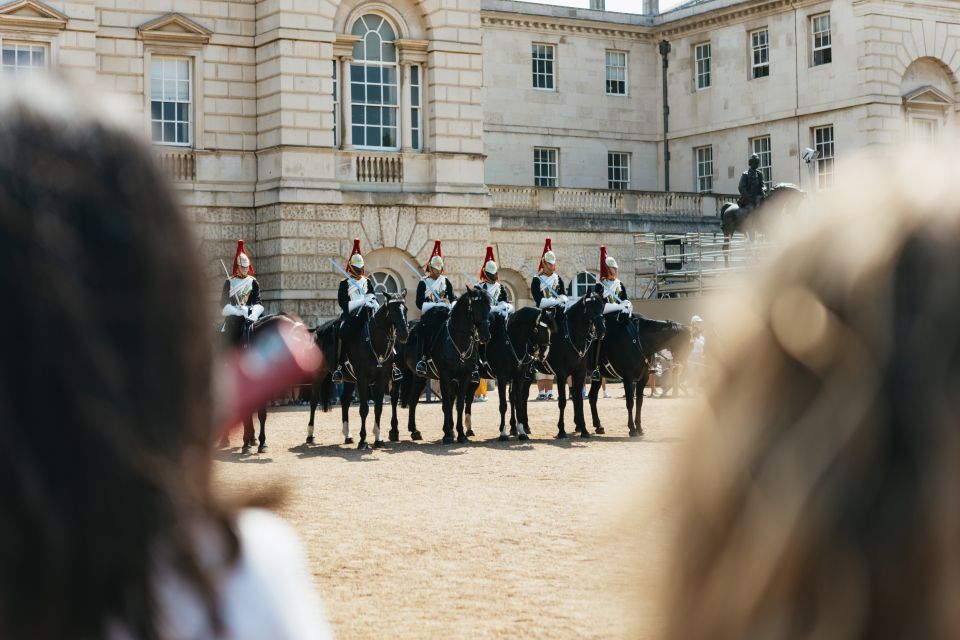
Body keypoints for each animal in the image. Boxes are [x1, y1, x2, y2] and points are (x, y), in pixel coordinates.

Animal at [308, 292, 408, 450]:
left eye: (406, 309)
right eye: (392, 309)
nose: (405, 333)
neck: (375, 341)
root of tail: (318, 329)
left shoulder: (381, 379)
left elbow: (378, 408)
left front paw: (378, 439)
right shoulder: (362, 379)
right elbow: (364, 409)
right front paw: (363, 440)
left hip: (349, 379)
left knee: (345, 400)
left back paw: (347, 435)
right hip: (319, 373)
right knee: (313, 400)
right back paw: (310, 435)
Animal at [392, 286, 492, 442]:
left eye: (489, 306)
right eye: (475, 306)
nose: (485, 336)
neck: (458, 340)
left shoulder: (464, 377)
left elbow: (458, 404)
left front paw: (460, 433)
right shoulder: (445, 376)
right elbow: (446, 403)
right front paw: (447, 433)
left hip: (419, 377)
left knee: (413, 400)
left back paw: (414, 431)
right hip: (399, 373)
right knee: (394, 398)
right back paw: (394, 432)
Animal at [464, 308, 556, 442]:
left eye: (550, 330)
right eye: (538, 330)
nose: (544, 354)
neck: (511, 342)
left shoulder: (520, 378)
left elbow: (518, 402)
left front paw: (521, 431)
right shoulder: (502, 378)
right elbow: (504, 405)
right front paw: (503, 433)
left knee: (469, 398)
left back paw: (469, 429)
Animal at [536, 292, 604, 438]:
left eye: (602, 305)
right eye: (590, 306)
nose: (602, 329)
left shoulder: (579, 373)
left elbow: (578, 399)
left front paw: (584, 429)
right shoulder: (561, 374)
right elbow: (562, 401)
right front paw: (561, 430)